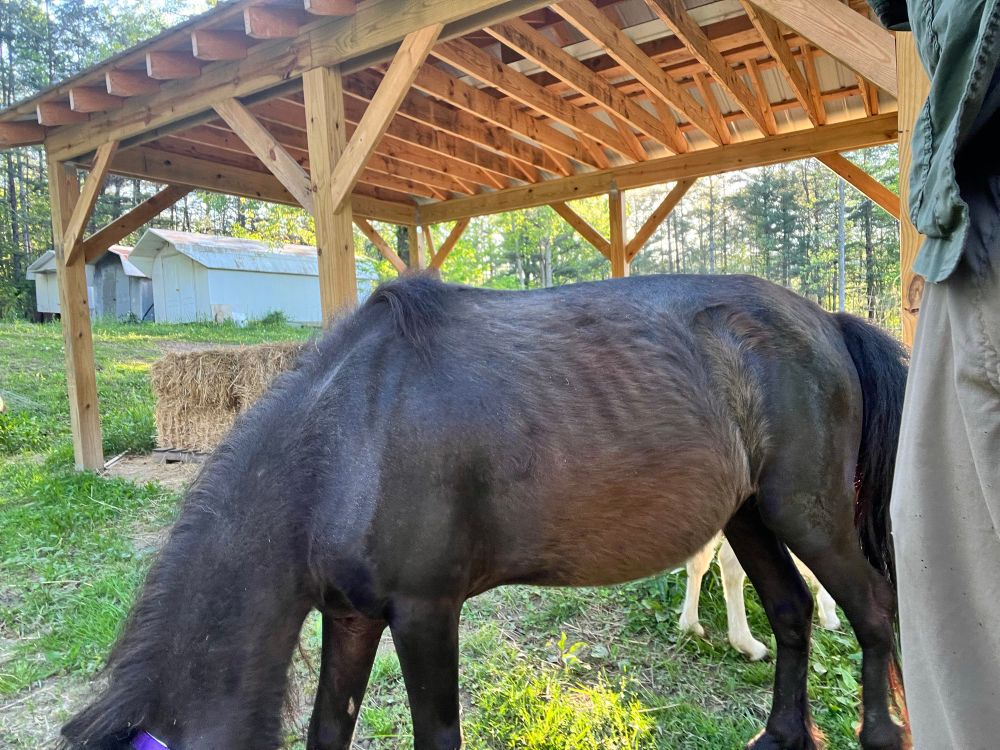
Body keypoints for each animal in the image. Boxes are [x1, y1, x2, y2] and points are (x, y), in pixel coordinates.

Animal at [61, 273, 907, 750]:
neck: (346, 440)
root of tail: (827, 322)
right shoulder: (351, 615)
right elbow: (329, 728)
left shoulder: (425, 613)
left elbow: (438, 735)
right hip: (751, 516)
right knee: (794, 611)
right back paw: (783, 735)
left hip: (809, 513)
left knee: (871, 610)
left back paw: (881, 732)